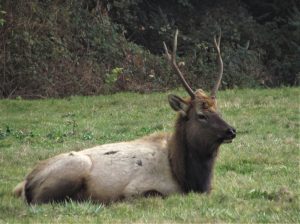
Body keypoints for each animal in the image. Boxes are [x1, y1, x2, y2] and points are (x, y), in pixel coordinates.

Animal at [12, 29, 236, 205]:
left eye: (219, 110)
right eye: (201, 115)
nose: (231, 130)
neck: (186, 175)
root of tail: (27, 182)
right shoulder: (138, 188)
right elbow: (153, 194)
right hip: (74, 168)